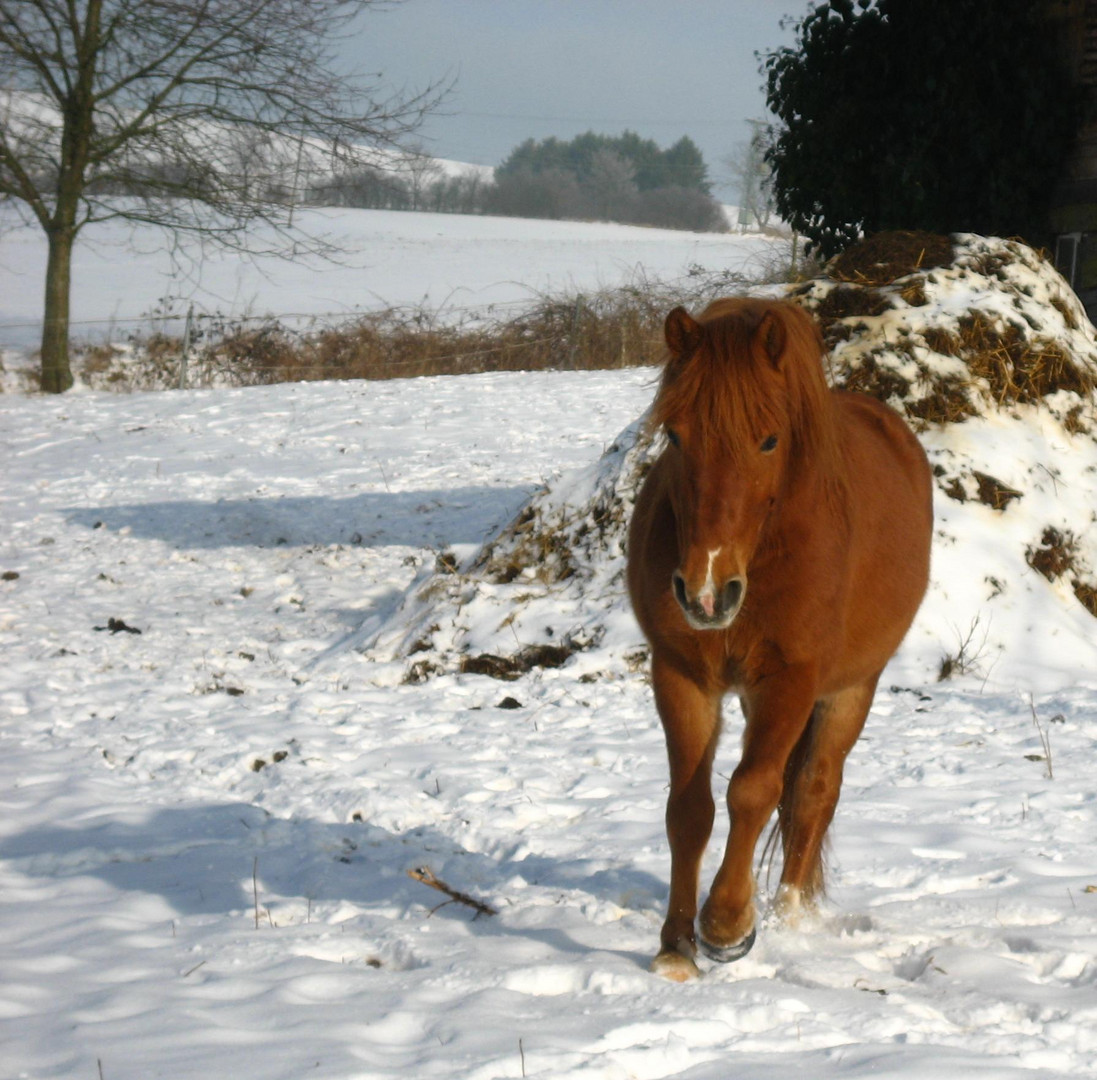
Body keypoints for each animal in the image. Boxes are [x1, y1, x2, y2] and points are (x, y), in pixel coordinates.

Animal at [631, 298, 930, 982]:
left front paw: (726, 926)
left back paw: (790, 917)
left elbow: (753, 791)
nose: (705, 592)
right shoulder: (682, 676)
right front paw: (676, 946)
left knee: (815, 790)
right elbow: (688, 810)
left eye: (768, 439)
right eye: (675, 436)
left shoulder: (791, 681)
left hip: (850, 690)